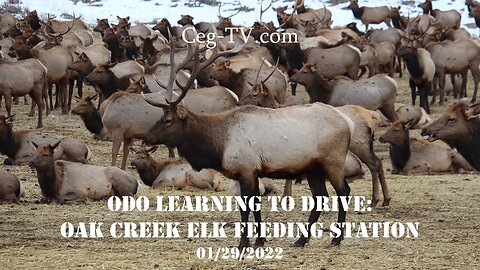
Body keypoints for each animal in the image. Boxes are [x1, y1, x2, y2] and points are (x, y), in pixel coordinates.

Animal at [141, 35, 354, 249]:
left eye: (168, 120)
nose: (146, 138)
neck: (219, 145)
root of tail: (348, 122)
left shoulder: (245, 169)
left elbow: (246, 207)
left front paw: (243, 243)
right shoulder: (254, 171)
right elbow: (256, 205)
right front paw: (259, 241)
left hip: (333, 160)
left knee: (343, 191)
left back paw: (336, 239)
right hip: (313, 167)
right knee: (320, 197)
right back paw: (301, 240)